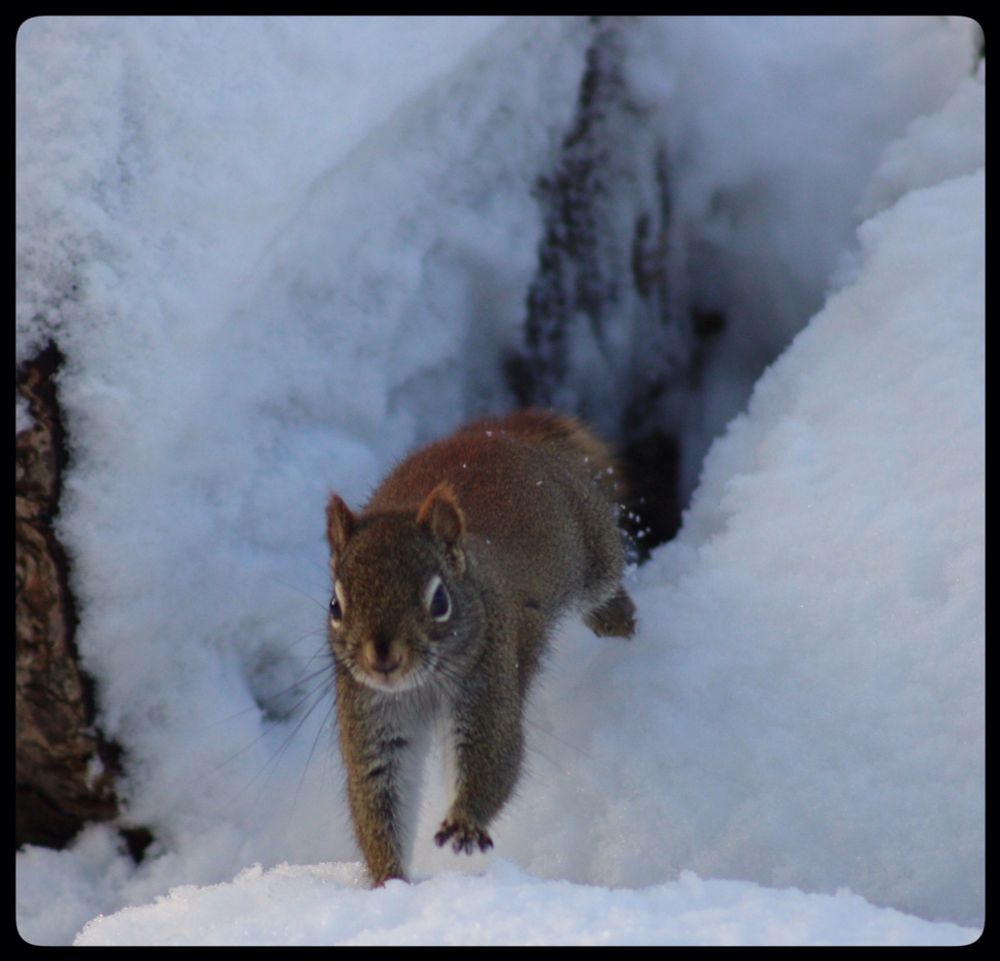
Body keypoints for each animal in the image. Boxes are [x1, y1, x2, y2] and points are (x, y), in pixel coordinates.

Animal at [325, 408, 636, 886]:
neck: (421, 684)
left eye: (439, 602)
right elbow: (378, 788)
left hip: (591, 543)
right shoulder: (371, 710)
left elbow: (496, 751)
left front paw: (464, 822)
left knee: (606, 579)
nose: (382, 658)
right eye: (335, 605)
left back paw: (617, 618)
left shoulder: (488, 674)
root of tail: (496, 435)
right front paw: (388, 880)